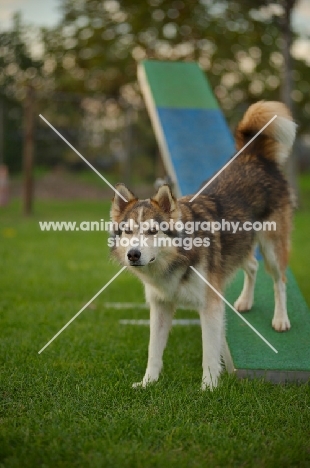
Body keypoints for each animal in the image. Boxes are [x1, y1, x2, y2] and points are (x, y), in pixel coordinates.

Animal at [109, 100, 296, 390]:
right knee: (252, 266)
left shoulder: (210, 306)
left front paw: (208, 387)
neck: (174, 261)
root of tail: (251, 156)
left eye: (152, 231)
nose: (133, 254)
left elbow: (209, 352)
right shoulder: (160, 306)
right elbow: (153, 350)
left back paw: (280, 319)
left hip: (272, 247)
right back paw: (245, 301)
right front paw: (148, 382)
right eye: (128, 231)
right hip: (239, 246)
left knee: (280, 281)